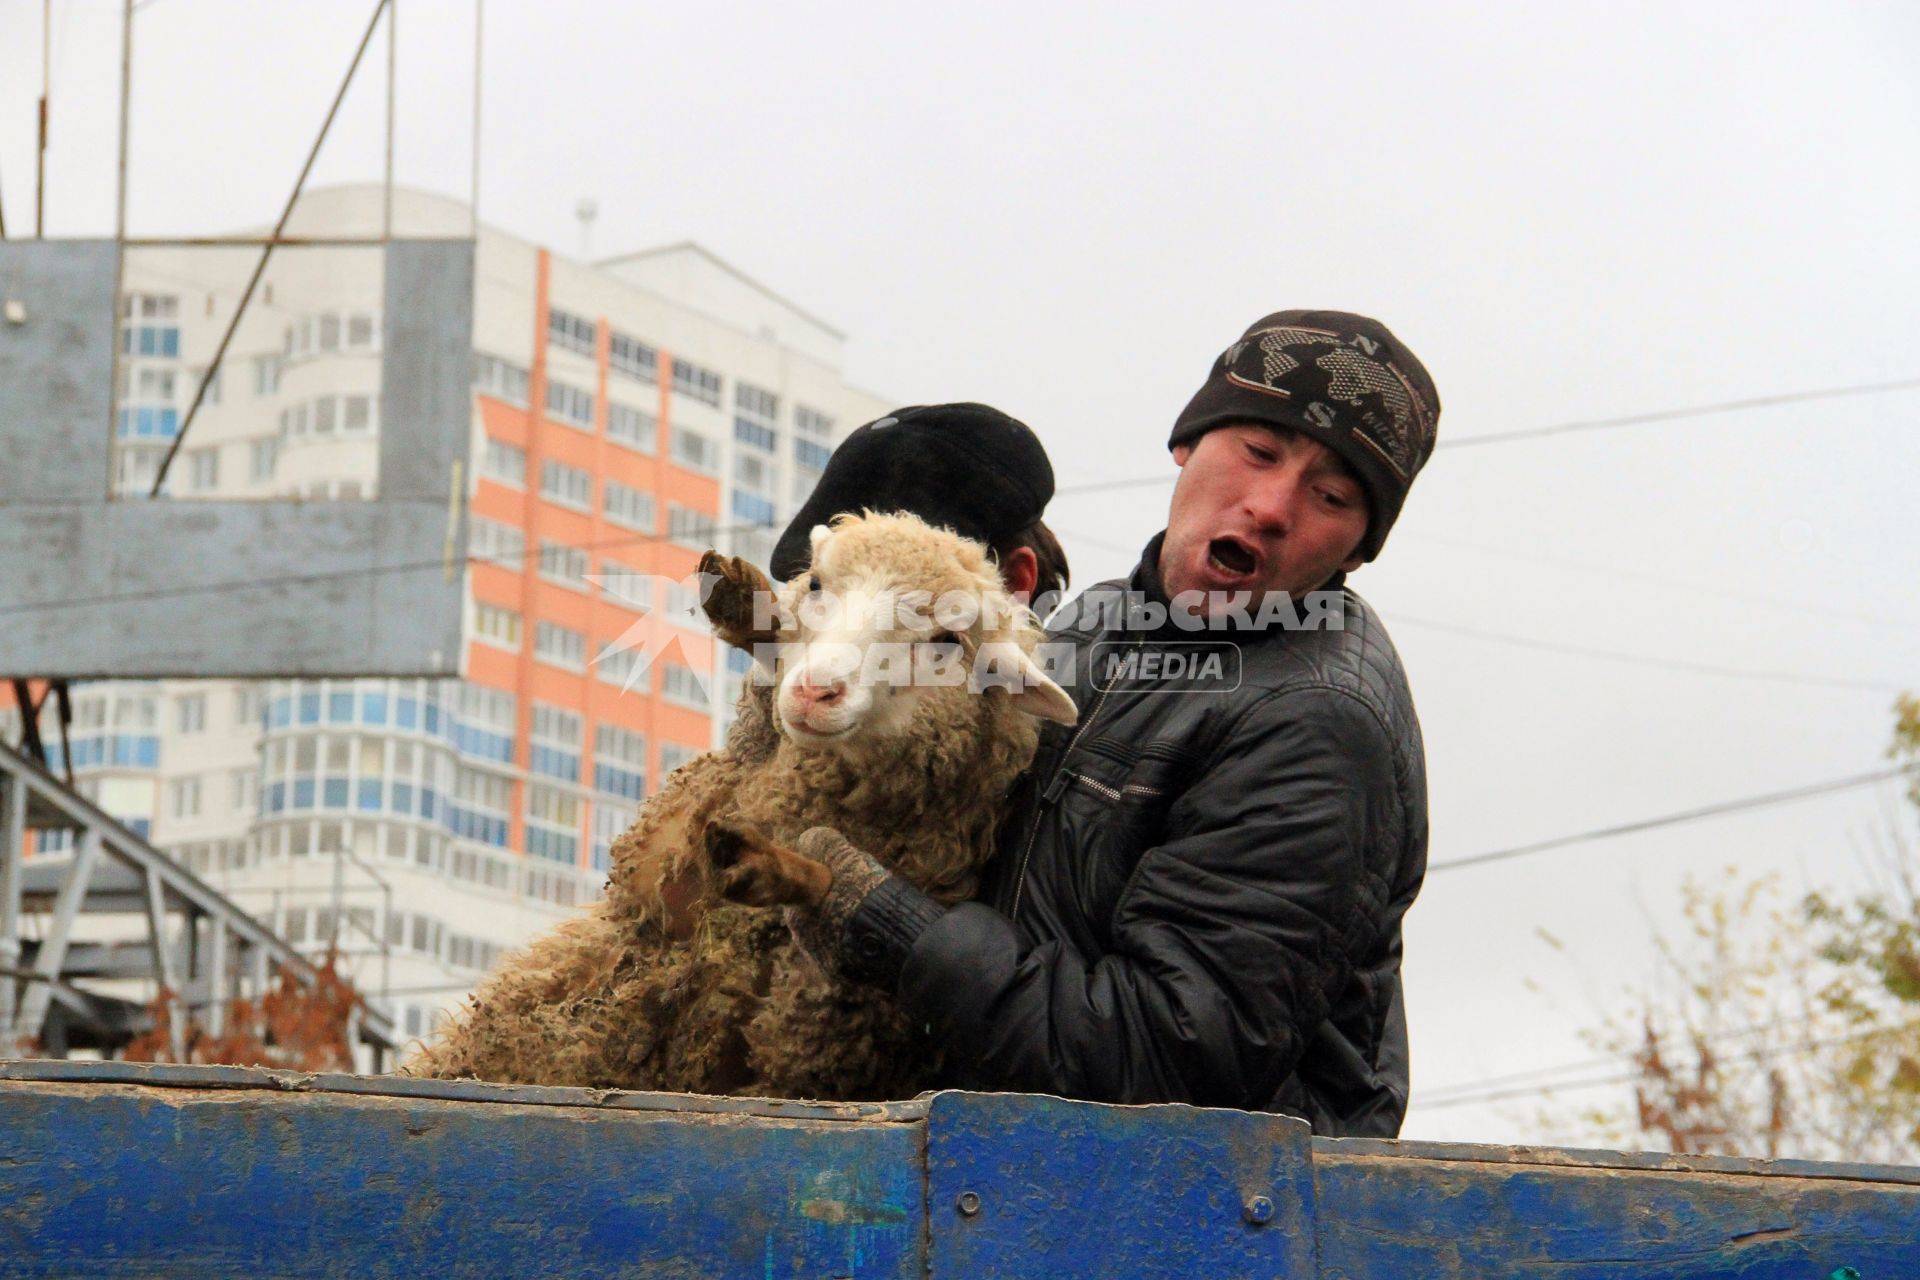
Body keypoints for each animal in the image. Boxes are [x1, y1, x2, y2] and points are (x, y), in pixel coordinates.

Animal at [408, 510, 1082, 1105]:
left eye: (947, 640)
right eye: (816, 584)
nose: (815, 691)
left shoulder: (803, 1039)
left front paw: (795, 869)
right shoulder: (662, 862)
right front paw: (744, 604)